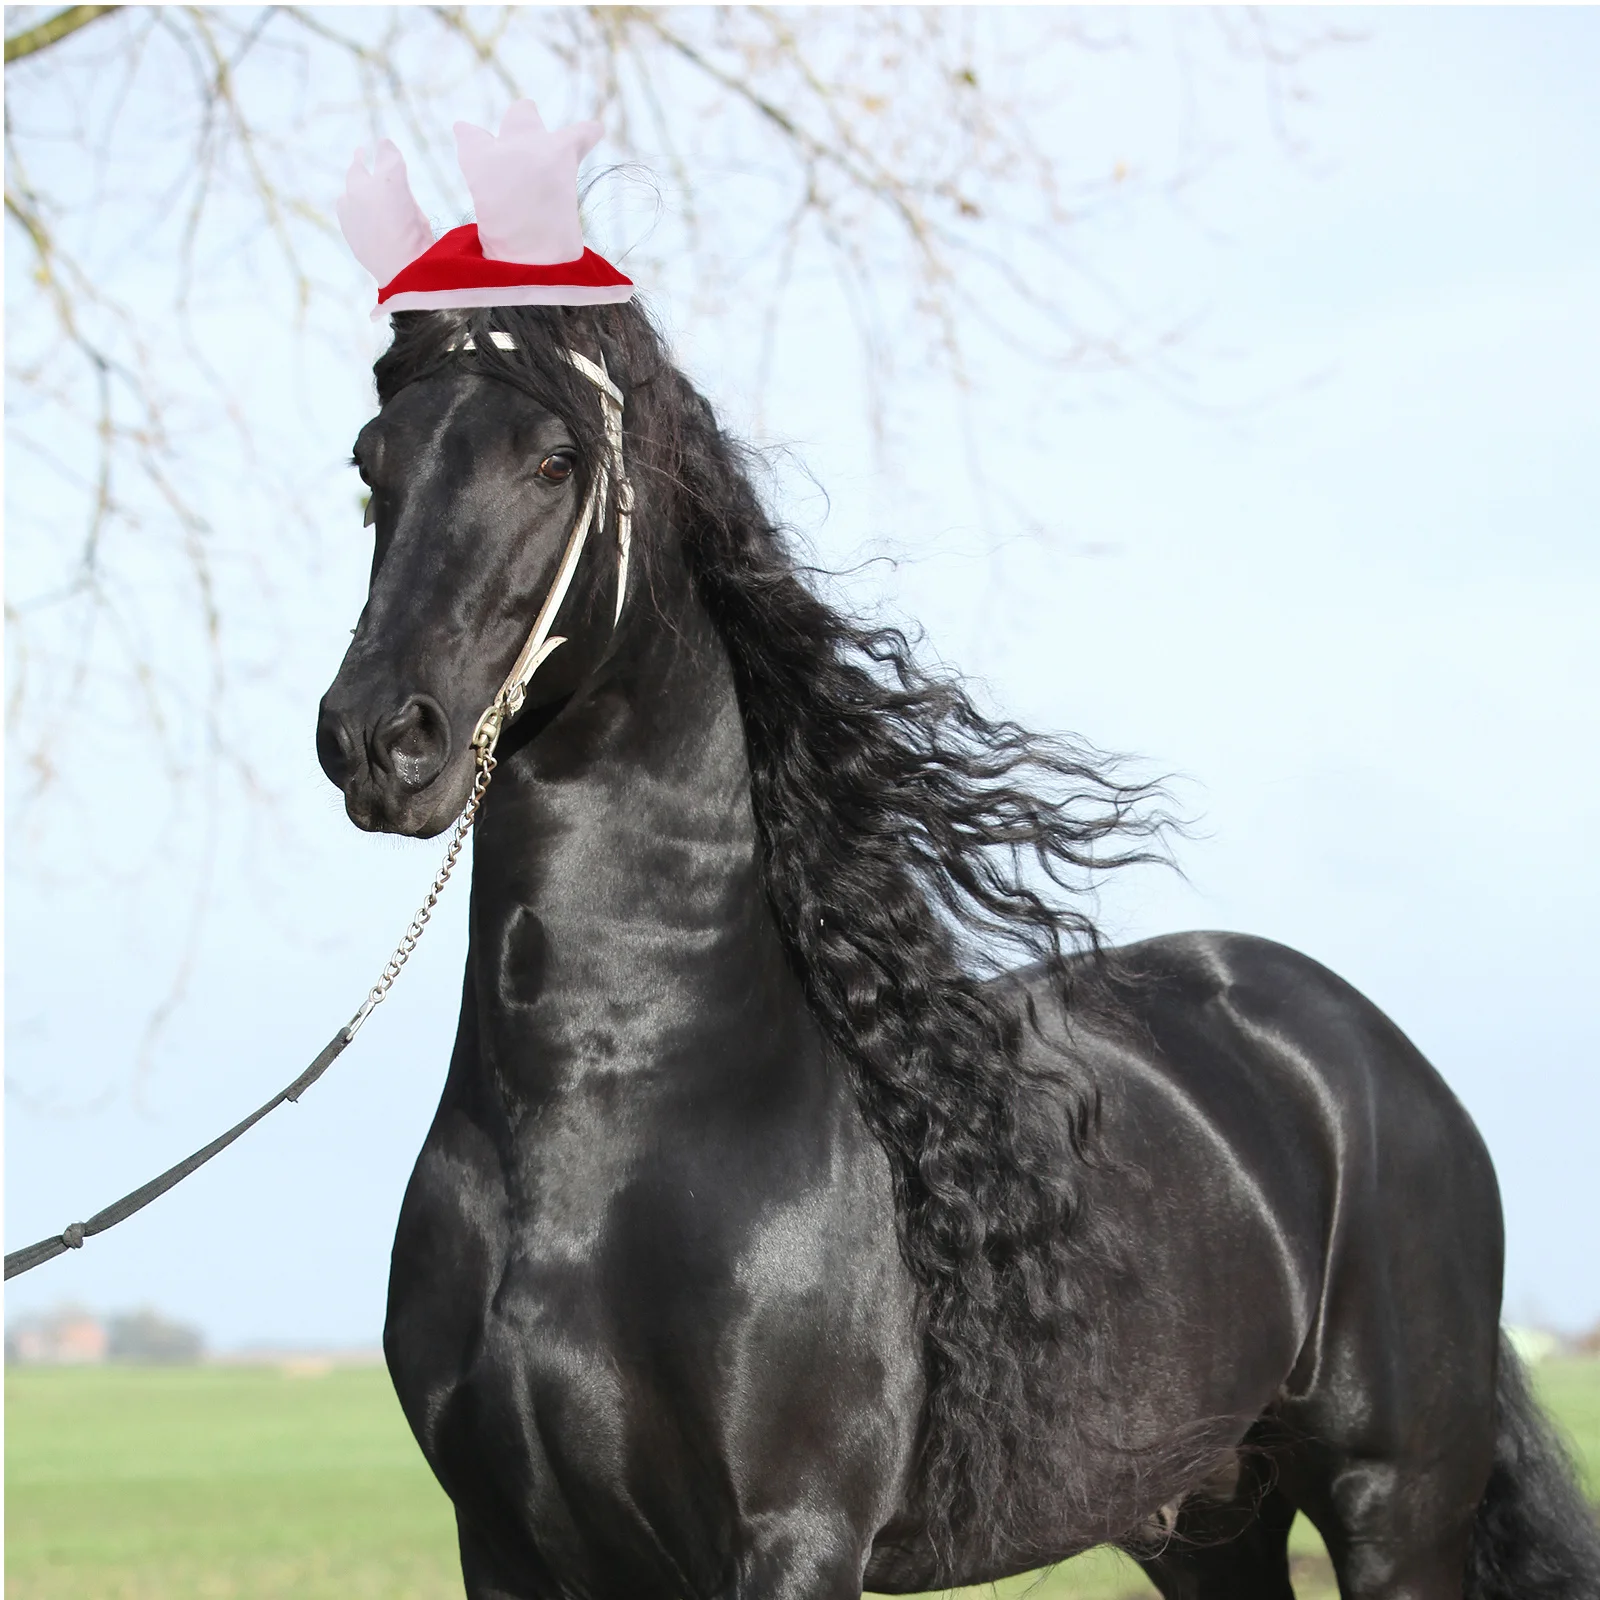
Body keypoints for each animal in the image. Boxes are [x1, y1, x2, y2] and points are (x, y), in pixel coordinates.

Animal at [315, 300, 1600, 1600]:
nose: (378, 738)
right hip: (1205, 1515)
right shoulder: (508, 1544)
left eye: (554, 461)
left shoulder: (790, 1537)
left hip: (1394, 1502)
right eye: (373, 469)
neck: (602, 1116)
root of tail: (1373, 1054)